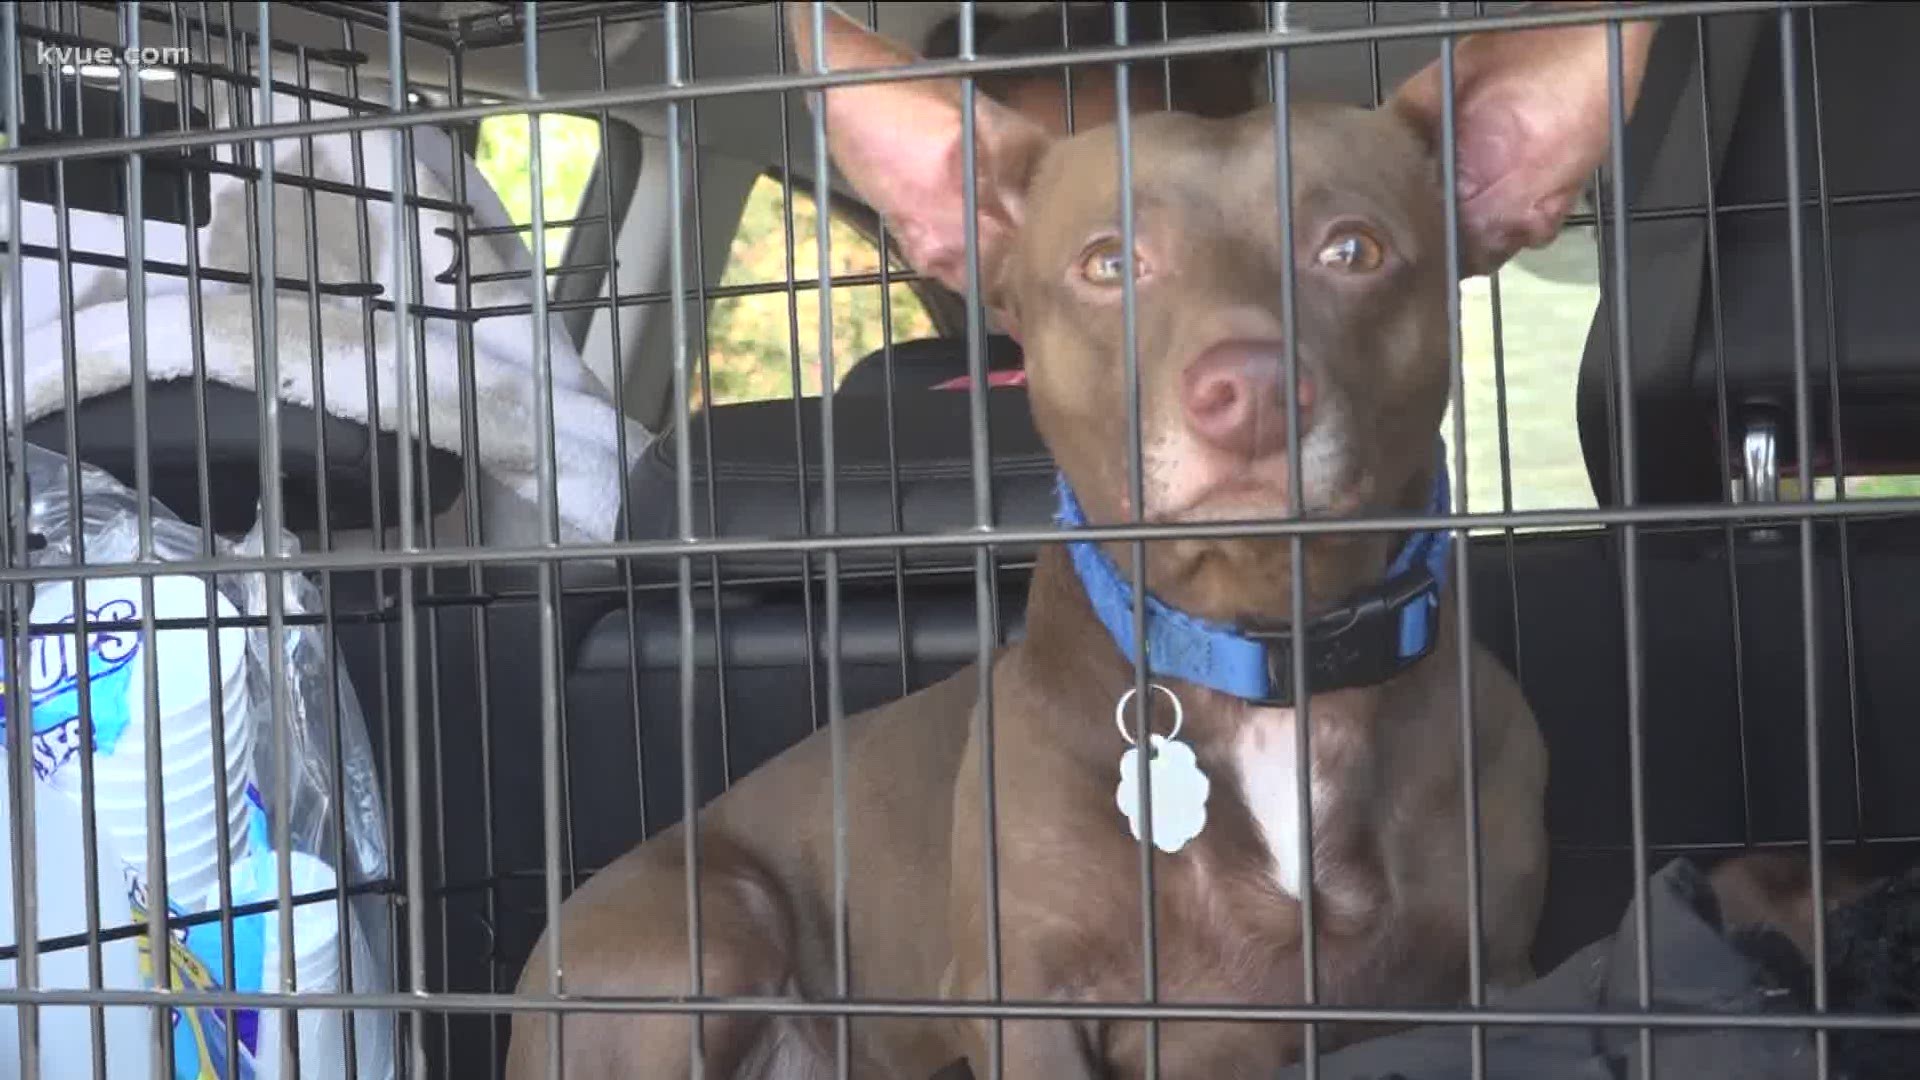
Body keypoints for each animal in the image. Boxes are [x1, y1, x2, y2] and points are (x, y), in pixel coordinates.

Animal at [510, 4, 1666, 1068]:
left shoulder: (1492, 984)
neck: (1266, 665)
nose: (1248, 393)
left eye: (1353, 249)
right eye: (1110, 264)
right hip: (702, 938)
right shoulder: (1028, 1002)